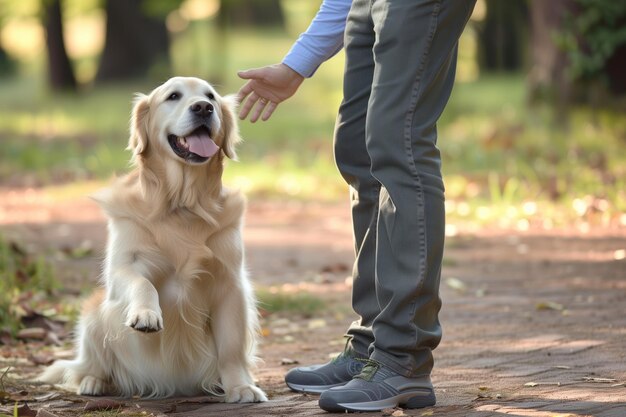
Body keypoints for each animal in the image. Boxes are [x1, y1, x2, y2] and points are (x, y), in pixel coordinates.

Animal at [41, 76, 266, 402]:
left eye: (210, 96)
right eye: (173, 96)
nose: (203, 108)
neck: (183, 204)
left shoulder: (230, 283)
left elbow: (232, 347)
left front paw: (240, 387)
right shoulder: (124, 267)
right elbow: (142, 283)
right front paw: (146, 315)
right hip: (94, 314)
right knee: (88, 365)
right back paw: (95, 382)